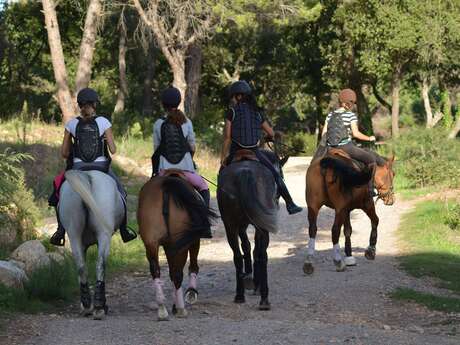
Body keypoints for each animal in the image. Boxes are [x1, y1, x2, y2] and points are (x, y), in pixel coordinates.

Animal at [58, 168, 124, 318]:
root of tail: (88, 175)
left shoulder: (82, 244)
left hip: (74, 234)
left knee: (81, 267)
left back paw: (87, 306)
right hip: (104, 234)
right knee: (100, 265)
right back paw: (99, 307)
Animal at [137, 175, 217, 320]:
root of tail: (166, 185)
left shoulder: (168, 246)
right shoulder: (192, 240)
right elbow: (191, 267)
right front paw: (191, 293)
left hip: (151, 243)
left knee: (156, 270)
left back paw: (162, 309)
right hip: (180, 244)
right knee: (178, 274)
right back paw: (180, 309)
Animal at [217, 150, 278, 310]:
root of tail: (245, 172)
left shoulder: (243, 226)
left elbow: (247, 246)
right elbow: (252, 247)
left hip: (230, 225)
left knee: (238, 256)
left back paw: (245, 295)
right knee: (261, 255)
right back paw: (260, 296)